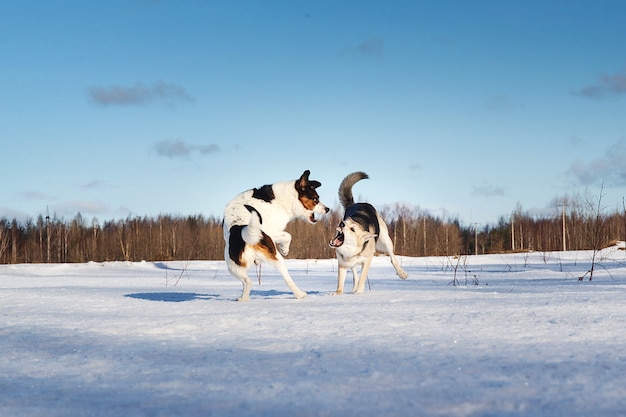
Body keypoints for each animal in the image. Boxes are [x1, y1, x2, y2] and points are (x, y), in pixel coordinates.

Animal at [222, 171, 330, 300]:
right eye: (315, 199)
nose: (327, 209)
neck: (284, 199)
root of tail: (241, 229)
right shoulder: (273, 231)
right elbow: (288, 235)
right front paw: (285, 250)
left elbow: (286, 236)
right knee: (286, 279)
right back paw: (300, 294)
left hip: (234, 267)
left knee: (247, 281)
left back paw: (243, 298)